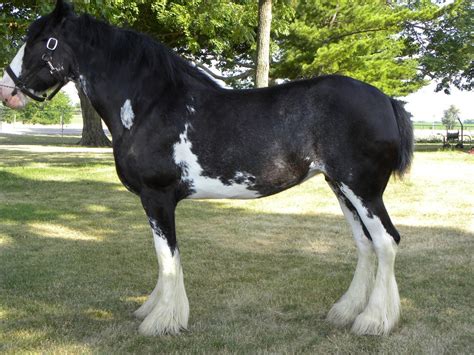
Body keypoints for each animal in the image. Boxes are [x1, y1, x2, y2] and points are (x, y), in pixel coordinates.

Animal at [1, 1, 412, 338]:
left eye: (40, 41)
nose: (7, 90)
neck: (151, 104)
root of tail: (387, 100)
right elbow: (166, 260)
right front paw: (154, 309)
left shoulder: (157, 198)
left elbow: (167, 257)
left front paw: (161, 321)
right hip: (340, 187)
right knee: (365, 244)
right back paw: (346, 311)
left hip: (362, 189)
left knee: (386, 241)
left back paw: (374, 321)